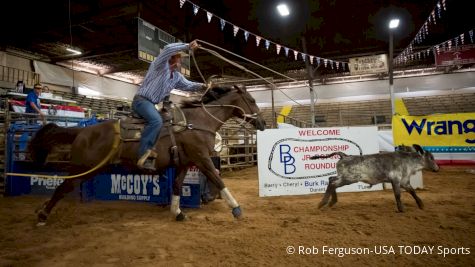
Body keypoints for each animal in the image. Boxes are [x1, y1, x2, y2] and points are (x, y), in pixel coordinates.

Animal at [30, 86, 268, 226]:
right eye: (252, 100)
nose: (263, 123)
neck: (197, 122)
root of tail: (83, 131)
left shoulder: (185, 163)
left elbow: (177, 186)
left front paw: (177, 212)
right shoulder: (202, 159)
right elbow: (218, 180)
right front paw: (237, 209)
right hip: (84, 168)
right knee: (62, 188)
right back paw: (42, 216)